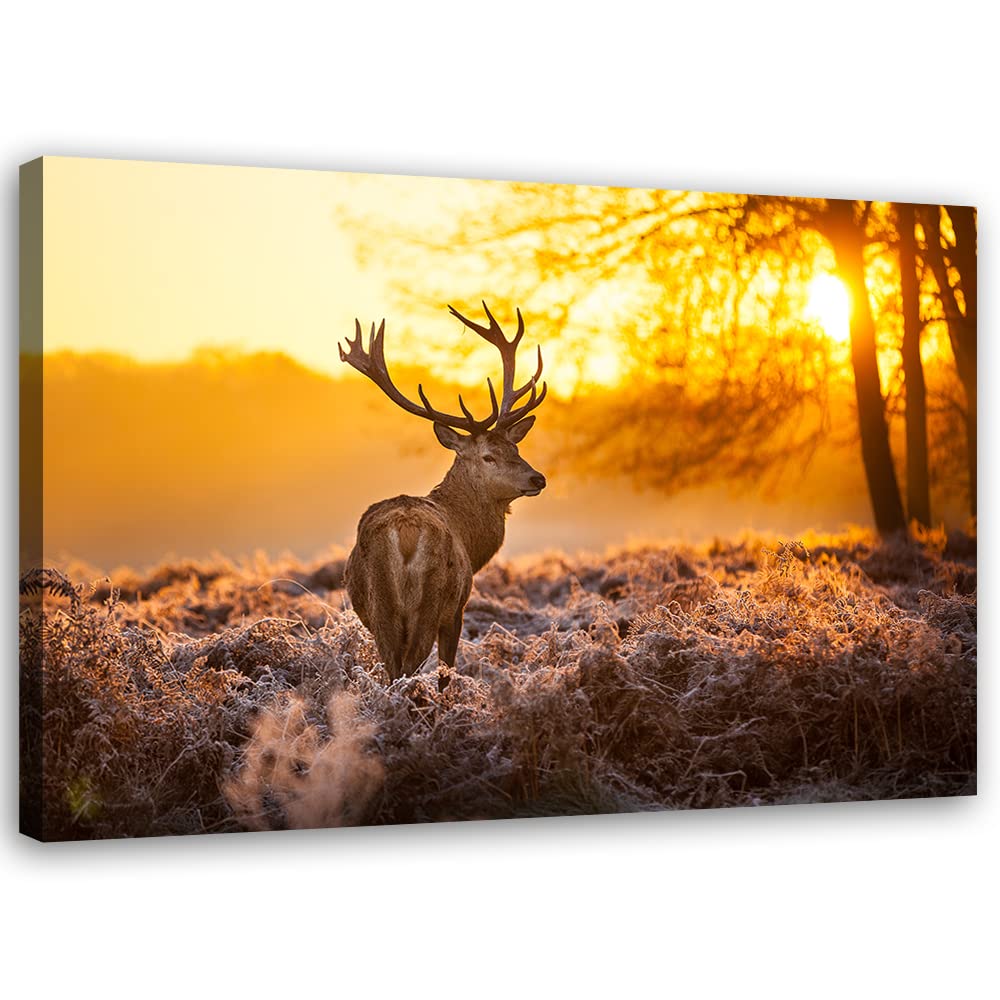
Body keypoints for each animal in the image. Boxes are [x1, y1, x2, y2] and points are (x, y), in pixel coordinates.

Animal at [339, 302, 547, 691]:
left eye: (515, 447)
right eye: (488, 456)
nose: (537, 477)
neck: (470, 538)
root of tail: (405, 532)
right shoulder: (457, 608)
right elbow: (446, 671)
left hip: (380, 607)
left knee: (393, 669)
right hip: (431, 601)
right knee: (409, 668)